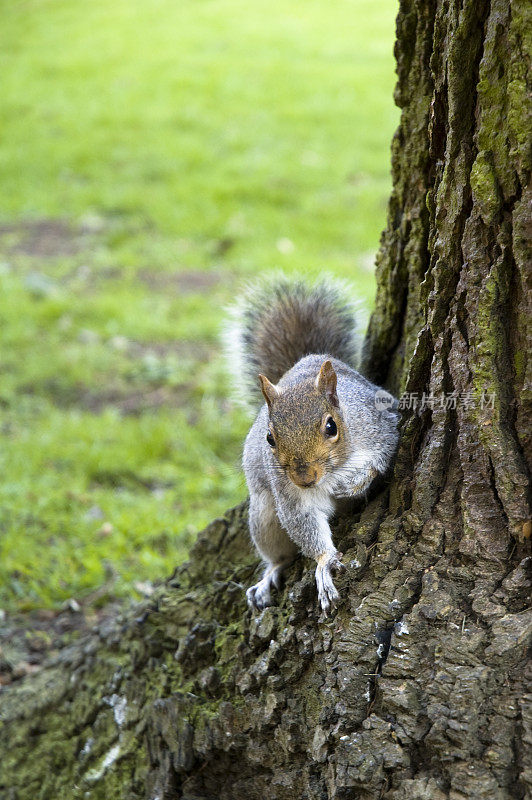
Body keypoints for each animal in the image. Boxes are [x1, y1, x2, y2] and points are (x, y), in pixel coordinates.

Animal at [224, 278, 400, 616]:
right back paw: (268, 577)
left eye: (331, 427)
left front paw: (354, 483)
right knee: (278, 554)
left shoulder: (380, 428)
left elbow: (379, 460)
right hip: (265, 516)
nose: (305, 478)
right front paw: (324, 562)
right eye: (269, 438)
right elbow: (304, 522)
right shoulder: (289, 493)